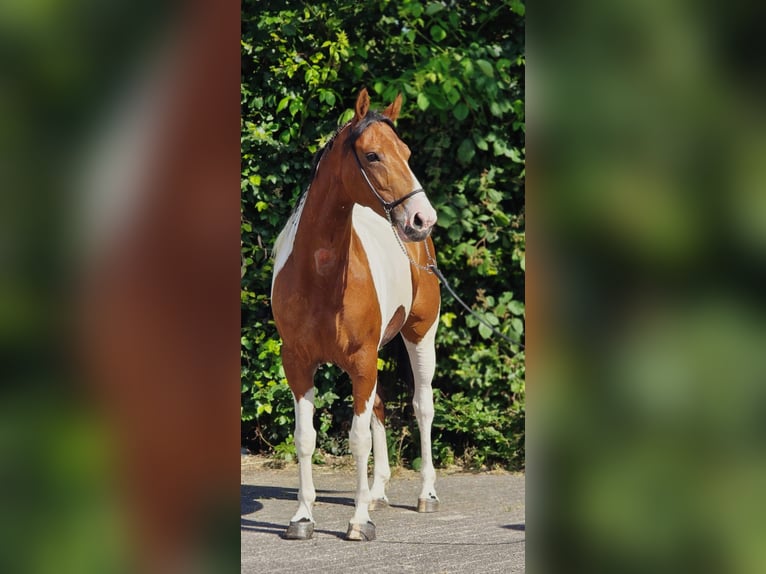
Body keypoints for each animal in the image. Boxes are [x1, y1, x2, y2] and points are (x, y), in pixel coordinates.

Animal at [270, 88, 441, 541]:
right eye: (372, 155)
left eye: (406, 152)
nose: (423, 218)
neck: (320, 280)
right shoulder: (297, 362)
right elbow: (305, 437)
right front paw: (302, 517)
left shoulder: (362, 361)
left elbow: (358, 438)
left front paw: (360, 521)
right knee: (380, 407)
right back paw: (378, 491)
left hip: (421, 335)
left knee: (422, 406)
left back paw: (426, 495)